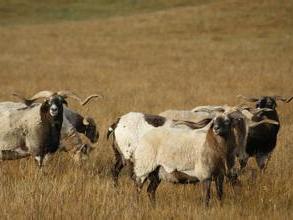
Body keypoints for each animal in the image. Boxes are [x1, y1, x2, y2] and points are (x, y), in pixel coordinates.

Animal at [132, 111, 278, 206]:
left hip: (157, 172)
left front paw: (220, 207)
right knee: (138, 189)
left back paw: (153, 207)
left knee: (150, 191)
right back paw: (137, 207)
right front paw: (206, 210)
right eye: (214, 121)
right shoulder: (205, 174)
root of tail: (144, 137)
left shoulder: (220, 174)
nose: (216, 129)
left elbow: (220, 193)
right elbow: (206, 197)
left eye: (227, 121)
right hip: (143, 168)